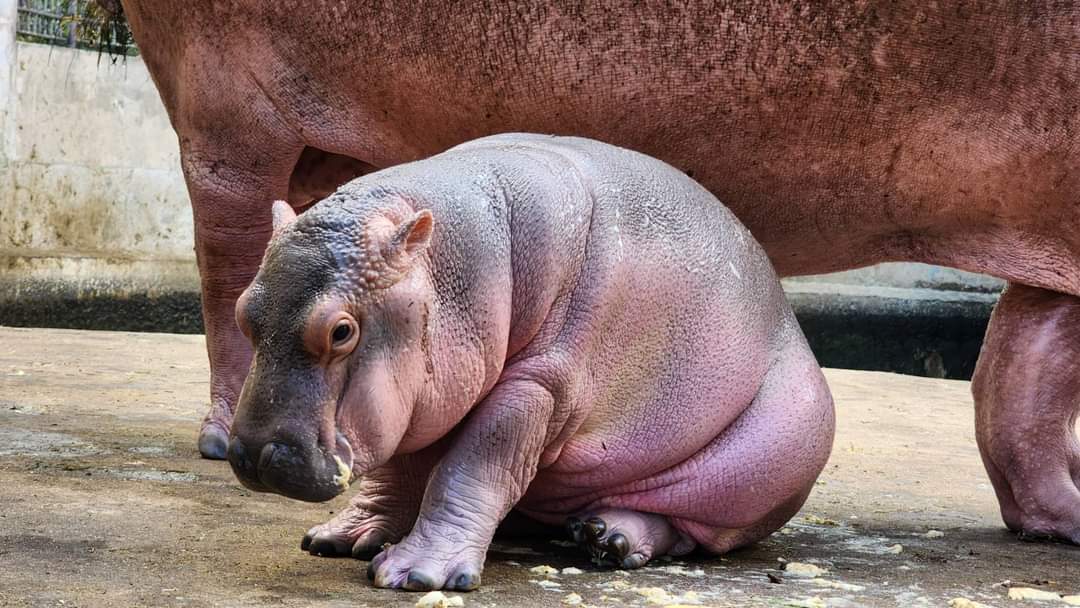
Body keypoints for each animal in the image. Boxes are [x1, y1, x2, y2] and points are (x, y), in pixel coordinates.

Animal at [227, 134, 835, 590]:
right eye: (242, 311)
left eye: (342, 330)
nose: (253, 453)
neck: (455, 263)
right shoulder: (421, 400)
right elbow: (401, 470)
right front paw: (342, 536)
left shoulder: (540, 386)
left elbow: (474, 465)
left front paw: (417, 575)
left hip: (765, 462)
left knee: (691, 527)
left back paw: (610, 539)